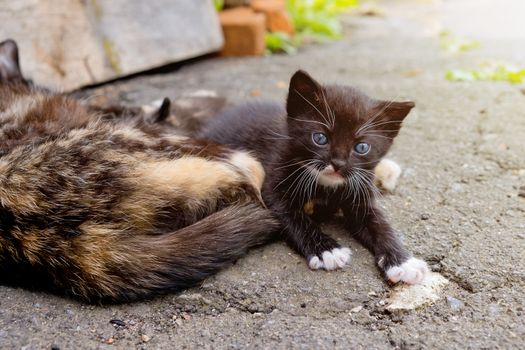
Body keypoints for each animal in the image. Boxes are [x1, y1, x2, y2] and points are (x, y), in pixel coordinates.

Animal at [199, 70, 428, 284]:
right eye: (320, 138)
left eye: (362, 147)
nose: (338, 164)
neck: (325, 186)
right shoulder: (271, 183)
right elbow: (292, 216)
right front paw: (327, 250)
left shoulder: (359, 190)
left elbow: (380, 224)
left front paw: (403, 261)